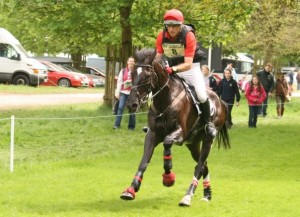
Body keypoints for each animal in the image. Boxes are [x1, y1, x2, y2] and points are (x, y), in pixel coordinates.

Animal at [119, 48, 230, 207]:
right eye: (132, 73)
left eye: (147, 76)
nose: (131, 104)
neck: (166, 100)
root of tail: (221, 102)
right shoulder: (152, 134)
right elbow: (144, 162)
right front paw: (131, 189)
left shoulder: (180, 133)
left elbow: (167, 142)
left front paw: (168, 177)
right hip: (193, 143)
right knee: (204, 165)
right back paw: (207, 194)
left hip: (207, 139)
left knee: (199, 166)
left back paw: (187, 196)